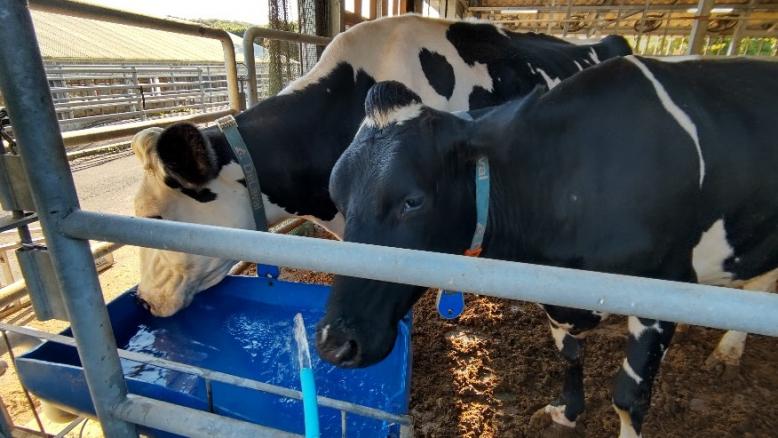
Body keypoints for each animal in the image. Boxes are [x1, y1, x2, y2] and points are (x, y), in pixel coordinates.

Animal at [316, 56, 776, 436]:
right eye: (337, 197)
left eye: (412, 201)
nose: (333, 343)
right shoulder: (553, 290)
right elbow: (569, 355)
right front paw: (567, 413)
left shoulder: (663, 290)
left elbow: (629, 398)